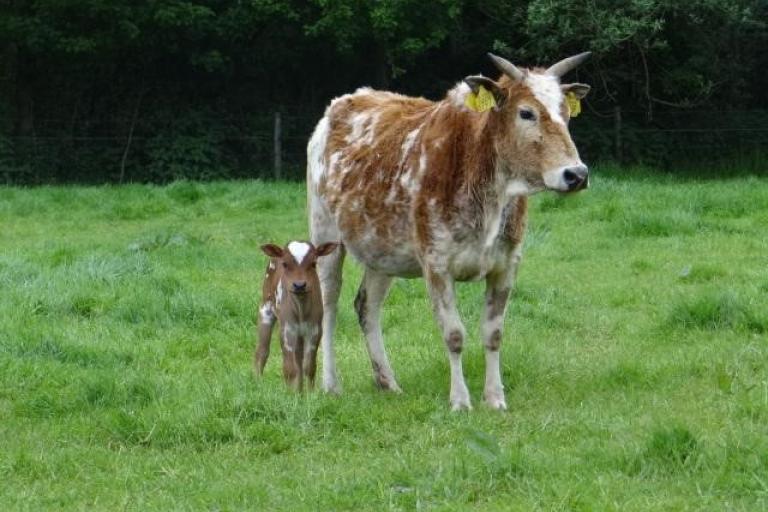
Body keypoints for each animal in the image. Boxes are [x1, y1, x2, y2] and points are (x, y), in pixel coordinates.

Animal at [256, 240, 338, 392]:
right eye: (285, 264)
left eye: (313, 263)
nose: (299, 285)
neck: (301, 310)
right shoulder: (286, 329)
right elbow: (289, 368)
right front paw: (290, 394)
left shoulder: (315, 329)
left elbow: (309, 366)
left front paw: (310, 394)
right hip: (265, 309)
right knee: (262, 351)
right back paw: (256, 382)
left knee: (299, 359)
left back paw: (299, 390)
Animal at [308, 52, 592, 410]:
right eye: (526, 112)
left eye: (566, 113)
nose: (576, 174)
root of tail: (344, 101)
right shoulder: (437, 262)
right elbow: (454, 334)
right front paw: (460, 400)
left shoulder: (507, 263)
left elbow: (493, 333)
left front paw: (495, 398)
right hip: (325, 233)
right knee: (328, 304)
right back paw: (331, 384)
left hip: (383, 249)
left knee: (366, 306)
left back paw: (388, 382)